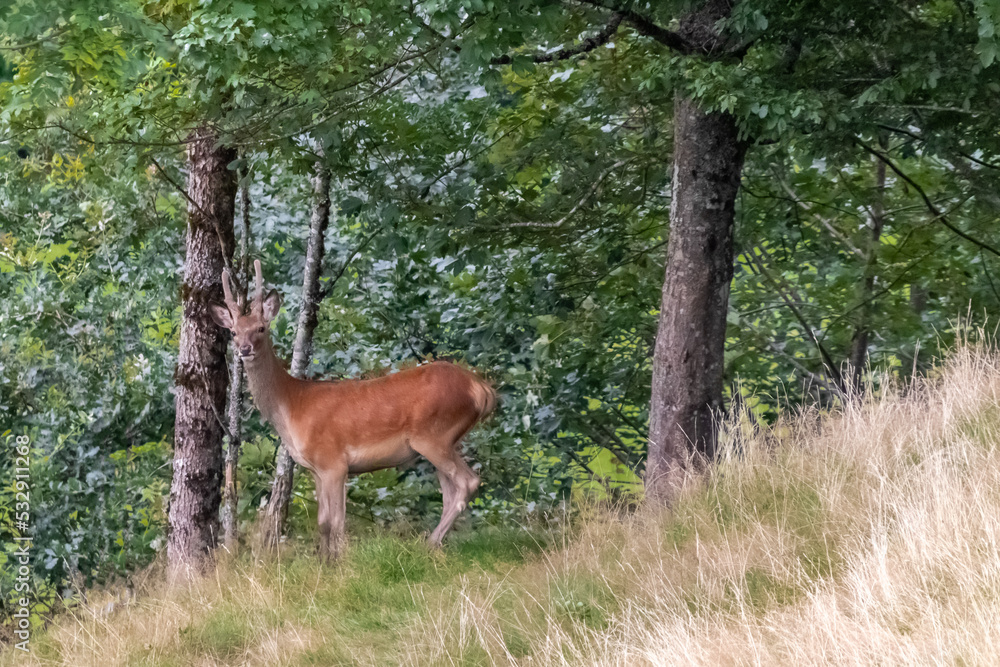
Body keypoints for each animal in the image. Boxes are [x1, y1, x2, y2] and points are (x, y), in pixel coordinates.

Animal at [208, 260, 496, 560]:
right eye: (234, 331)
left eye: (261, 328)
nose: (244, 349)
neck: (292, 404)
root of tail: (481, 389)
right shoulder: (317, 469)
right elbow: (323, 522)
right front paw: (324, 561)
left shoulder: (333, 461)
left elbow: (336, 521)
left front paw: (340, 561)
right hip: (445, 440)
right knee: (450, 491)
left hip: (433, 435)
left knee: (467, 482)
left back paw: (428, 543)